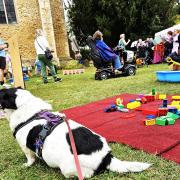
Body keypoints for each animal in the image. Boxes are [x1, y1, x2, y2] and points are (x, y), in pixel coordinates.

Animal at [0, 88, 151, 178]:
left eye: (2, 94)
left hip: (68, 169)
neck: (31, 111)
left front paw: (27, 164)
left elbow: (30, 158)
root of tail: (107, 158)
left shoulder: (24, 147)